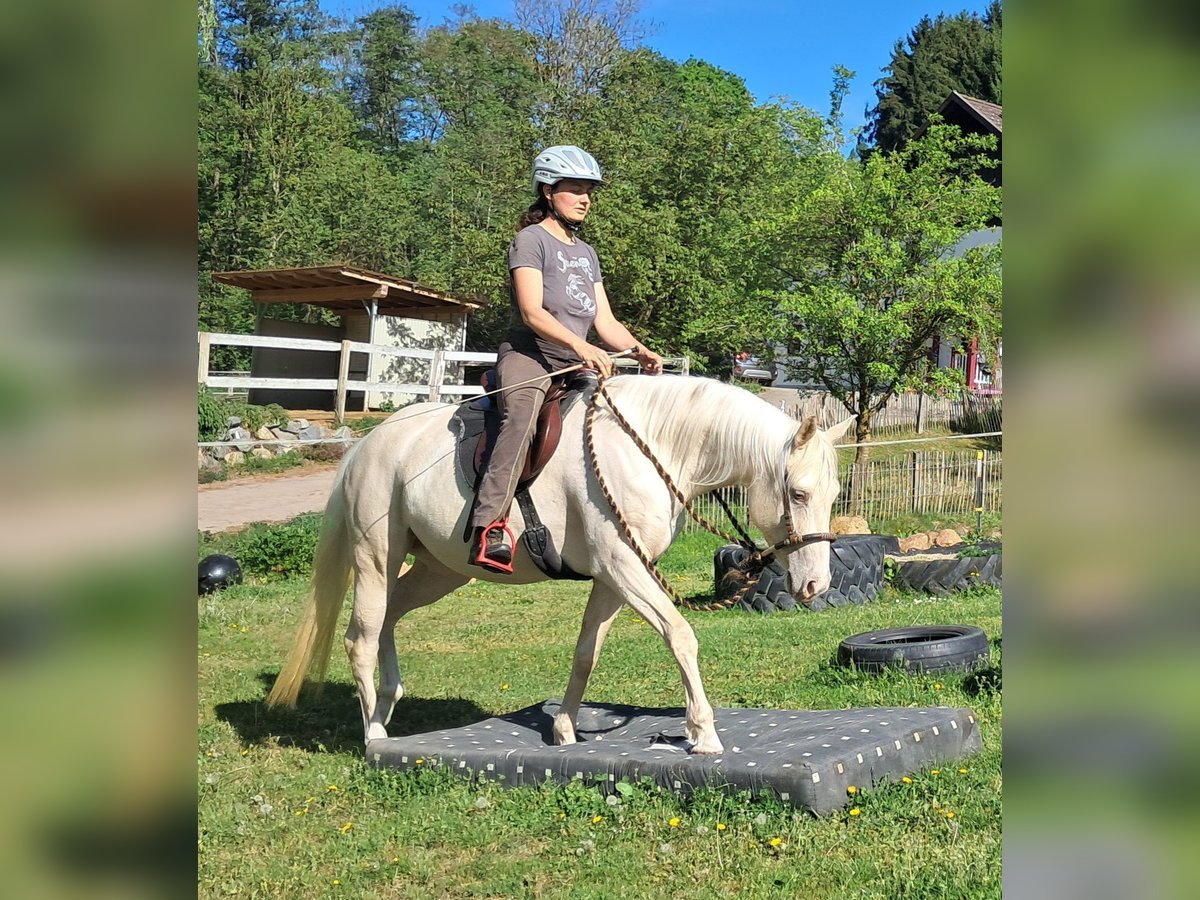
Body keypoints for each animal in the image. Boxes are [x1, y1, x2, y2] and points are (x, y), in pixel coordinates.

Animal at [266, 375, 853, 755]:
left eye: (832, 494)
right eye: (798, 494)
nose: (816, 585)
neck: (649, 449)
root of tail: (366, 445)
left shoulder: (615, 577)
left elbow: (586, 652)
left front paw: (565, 729)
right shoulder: (624, 569)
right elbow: (681, 635)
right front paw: (703, 734)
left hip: (441, 570)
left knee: (389, 618)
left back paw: (387, 706)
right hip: (375, 558)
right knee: (360, 636)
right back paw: (375, 737)